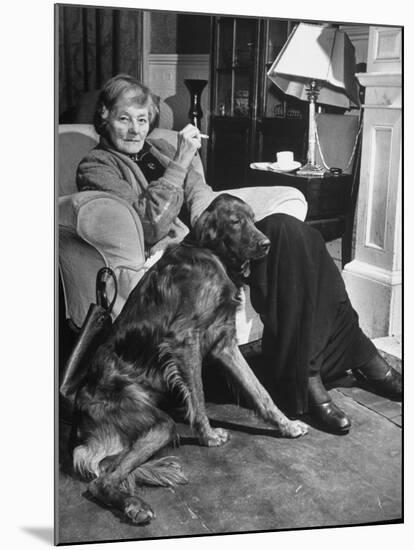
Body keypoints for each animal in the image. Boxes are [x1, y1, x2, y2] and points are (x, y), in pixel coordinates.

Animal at [73, 194, 308, 528]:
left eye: (253, 219)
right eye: (235, 222)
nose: (266, 244)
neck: (211, 255)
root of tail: (80, 428)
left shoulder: (225, 343)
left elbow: (260, 391)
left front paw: (286, 425)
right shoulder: (185, 341)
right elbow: (198, 396)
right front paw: (208, 436)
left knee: (111, 471)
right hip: (158, 423)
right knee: (100, 482)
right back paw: (136, 506)